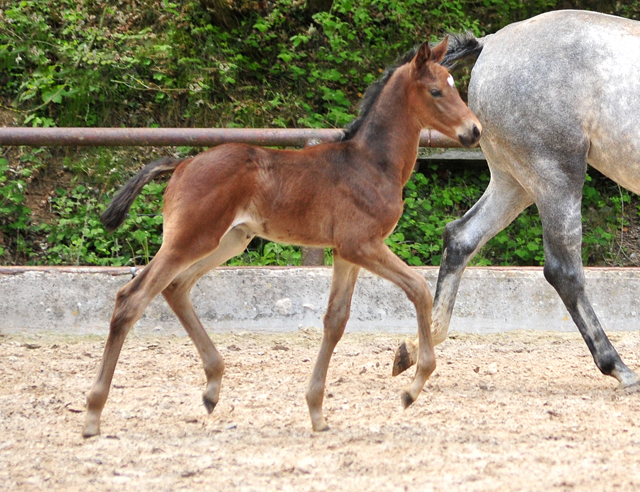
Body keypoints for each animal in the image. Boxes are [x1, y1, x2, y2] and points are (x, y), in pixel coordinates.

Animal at [81, 39, 480, 438]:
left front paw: (317, 411)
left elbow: (336, 320)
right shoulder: (361, 244)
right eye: (436, 91)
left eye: (454, 85)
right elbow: (419, 288)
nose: (474, 130)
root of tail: (183, 164)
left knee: (176, 289)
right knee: (131, 299)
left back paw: (212, 388)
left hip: (229, 241)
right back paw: (93, 413)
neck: (370, 163)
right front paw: (413, 386)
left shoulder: (346, 252)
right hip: (189, 240)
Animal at [396, 8, 640, 400]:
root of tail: (492, 42)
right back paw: (619, 368)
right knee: (563, 270)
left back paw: (417, 347)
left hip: (515, 183)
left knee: (460, 237)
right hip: (555, 177)